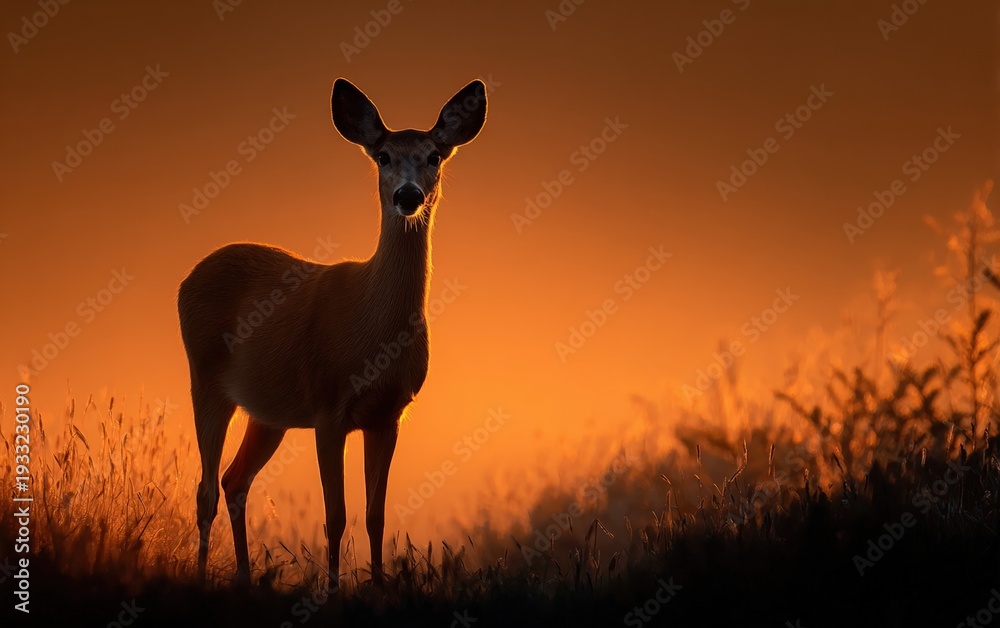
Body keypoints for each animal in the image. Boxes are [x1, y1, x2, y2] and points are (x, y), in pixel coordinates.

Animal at [177, 78, 487, 590]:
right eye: (382, 155)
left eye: (434, 155)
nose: (407, 195)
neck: (374, 332)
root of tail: (188, 277)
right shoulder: (328, 407)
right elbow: (336, 515)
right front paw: (334, 589)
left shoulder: (388, 414)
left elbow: (376, 514)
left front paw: (379, 586)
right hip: (205, 380)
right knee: (205, 490)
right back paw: (202, 578)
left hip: (269, 413)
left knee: (234, 480)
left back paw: (245, 576)